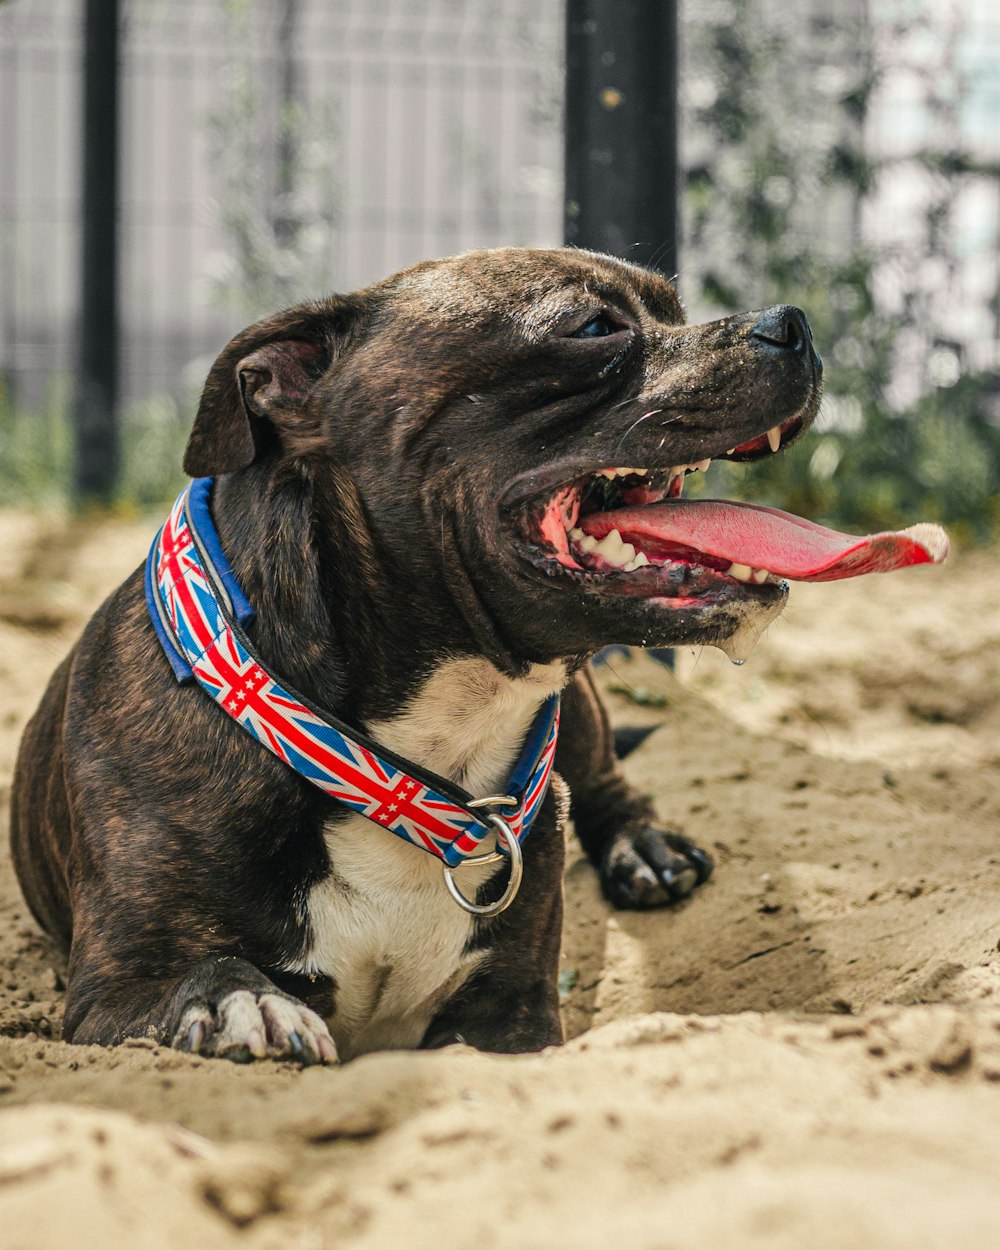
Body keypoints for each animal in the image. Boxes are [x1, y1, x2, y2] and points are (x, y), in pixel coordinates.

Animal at [9, 246, 820, 1065]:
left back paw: (645, 847)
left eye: (674, 313)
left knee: (605, 780)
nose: (793, 323)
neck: (417, 759)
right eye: (592, 328)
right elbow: (201, 979)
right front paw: (243, 1002)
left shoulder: (511, 1016)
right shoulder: (111, 995)